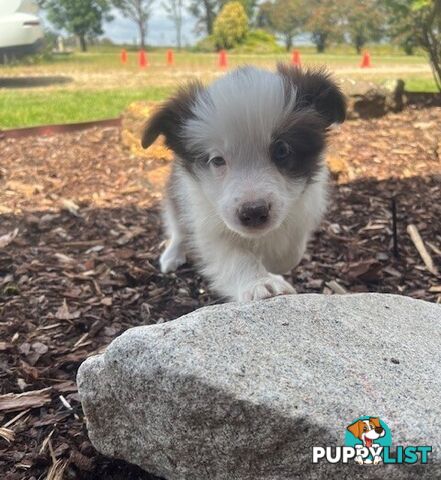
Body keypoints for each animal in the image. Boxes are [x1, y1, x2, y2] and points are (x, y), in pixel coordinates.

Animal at [141, 64, 344, 300]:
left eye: (282, 150)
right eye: (217, 160)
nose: (254, 212)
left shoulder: (304, 206)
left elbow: (292, 250)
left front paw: (275, 265)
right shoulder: (207, 221)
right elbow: (235, 258)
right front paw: (261, 283)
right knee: (178, 228)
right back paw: (172, 256)